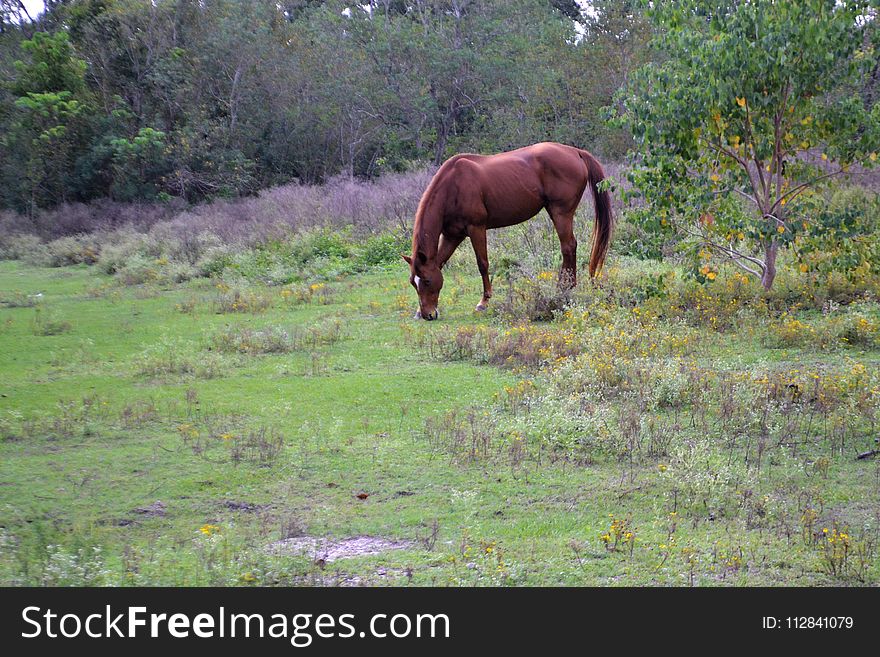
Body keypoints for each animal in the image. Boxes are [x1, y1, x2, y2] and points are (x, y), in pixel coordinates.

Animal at [404, 141, 612, 320]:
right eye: (413, 282)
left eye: (427, 281)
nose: (428, 314)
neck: (453, 185)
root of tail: (575, 152)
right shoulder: (452, 235)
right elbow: (440, 261)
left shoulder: (476, 228)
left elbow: (482, 264)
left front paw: (484, 302)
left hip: (561, 213)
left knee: (568, 246)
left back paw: (564, 288)